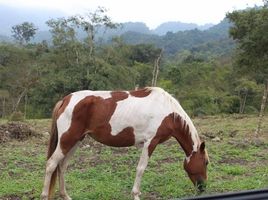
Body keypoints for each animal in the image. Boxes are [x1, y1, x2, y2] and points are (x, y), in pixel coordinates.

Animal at [39, 86, 209, 199]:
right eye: (206, 162)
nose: (202, 188)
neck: (168, 112)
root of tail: (65, 100)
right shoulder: (150, 142)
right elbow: (141, 168)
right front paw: (136, 195)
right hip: (67, 140)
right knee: (51, 164)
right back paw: (45, 195)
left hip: (75, 141)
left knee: (62, 166)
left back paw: (65, 195)